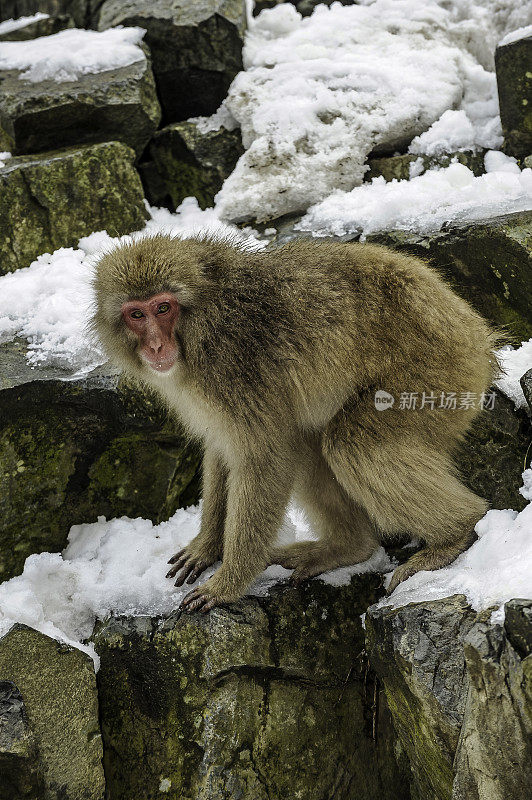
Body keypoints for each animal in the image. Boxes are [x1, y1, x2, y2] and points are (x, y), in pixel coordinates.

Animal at [93, 233, 496, 612]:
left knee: (352, 445)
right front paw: (206, 546)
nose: (156, 347)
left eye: (163, 308)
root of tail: (477, 332)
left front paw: (229, 582)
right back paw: (349, 547)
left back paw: (455, 534)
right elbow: (224, 448)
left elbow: (265, 456)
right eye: (136, 315)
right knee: (310, 442)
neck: (204, 326)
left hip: (435, 377)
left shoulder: (234, 371)